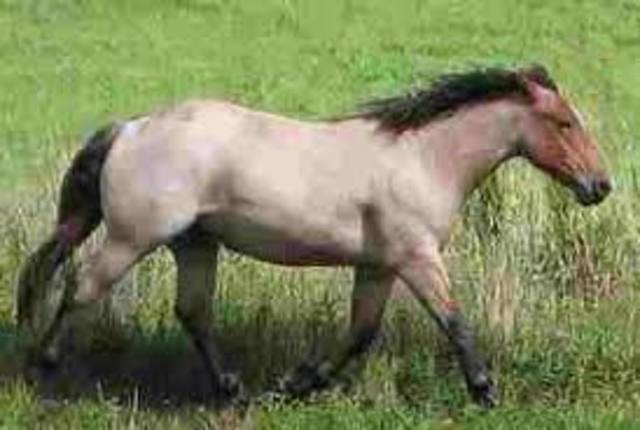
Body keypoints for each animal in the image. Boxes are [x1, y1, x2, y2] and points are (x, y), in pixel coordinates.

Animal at [17, 65, 611, 407]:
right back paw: (41, 365)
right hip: (131, 238)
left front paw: (297, 384)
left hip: (194, 243)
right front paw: (485, 391)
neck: (425, 159)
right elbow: (454, 321)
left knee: (192, 311)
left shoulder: (377, 266)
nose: (599, 186)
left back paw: (232, 390)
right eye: (563, 123)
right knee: (80, 287)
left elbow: (360, 333)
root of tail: (130, 129)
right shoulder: (416, 258)